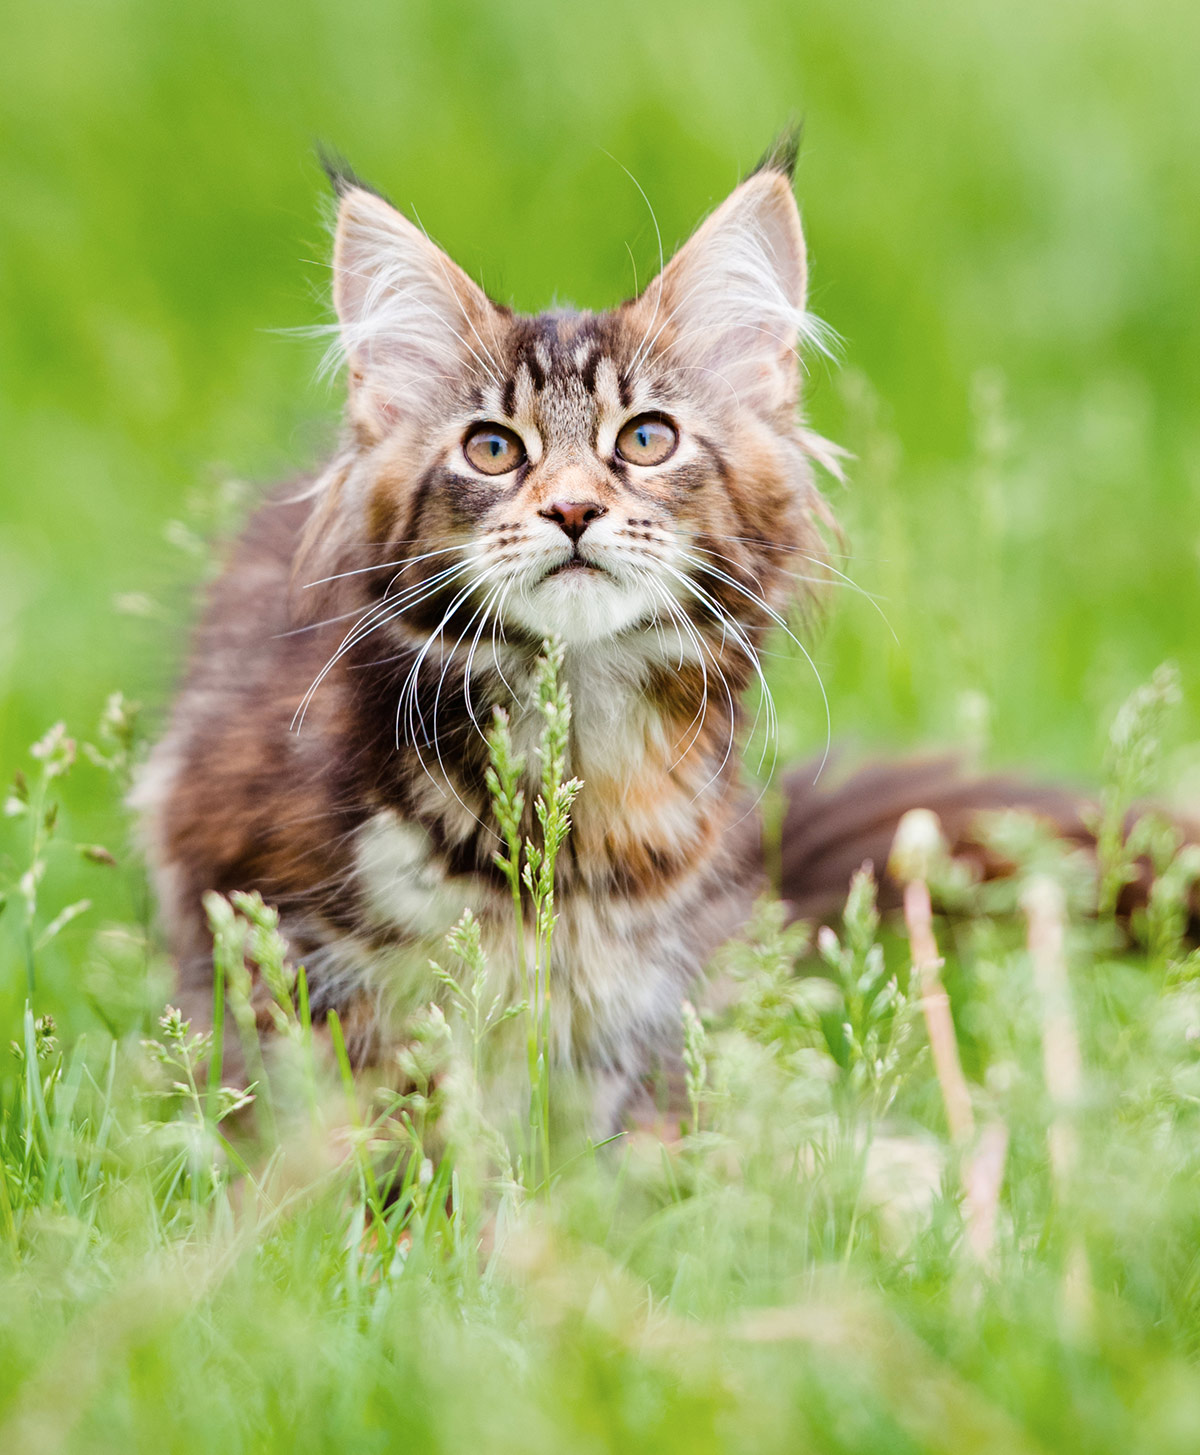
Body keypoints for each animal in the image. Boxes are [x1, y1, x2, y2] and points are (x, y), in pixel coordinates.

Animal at [136, 133, 1163, 1123]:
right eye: (493, 449)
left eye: (645, 439)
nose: (573, 510)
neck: (579, 739)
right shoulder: (269, 922)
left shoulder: (632, 986)